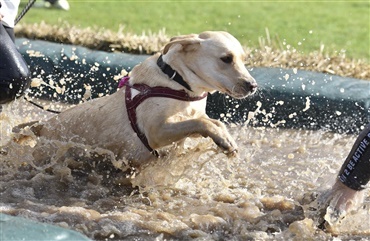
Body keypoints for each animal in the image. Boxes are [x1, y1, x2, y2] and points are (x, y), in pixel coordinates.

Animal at [22, 30, 258, 169]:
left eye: (243, 59)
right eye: (226, 59)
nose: (253, 85)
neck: (177, 80)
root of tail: (42, 127)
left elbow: (210, 121)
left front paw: (225, 137)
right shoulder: (156, 131)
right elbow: (200, 122)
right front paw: (223, 139)